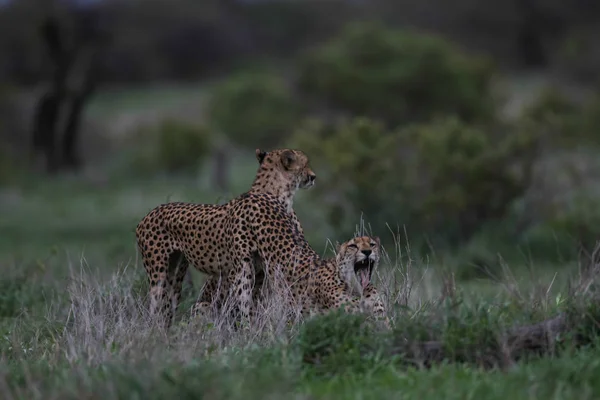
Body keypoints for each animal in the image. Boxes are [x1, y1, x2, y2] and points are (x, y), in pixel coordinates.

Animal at [135, 148, 314, 326]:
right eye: (305, 164)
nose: (313, 176)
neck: (279, 196)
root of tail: (148, 214)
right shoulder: (243, 268)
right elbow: (246, 302)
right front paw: (248, 329)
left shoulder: (264, 269)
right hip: (161, 275)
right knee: (157, 306)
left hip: (177, 270)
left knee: (169, 306)